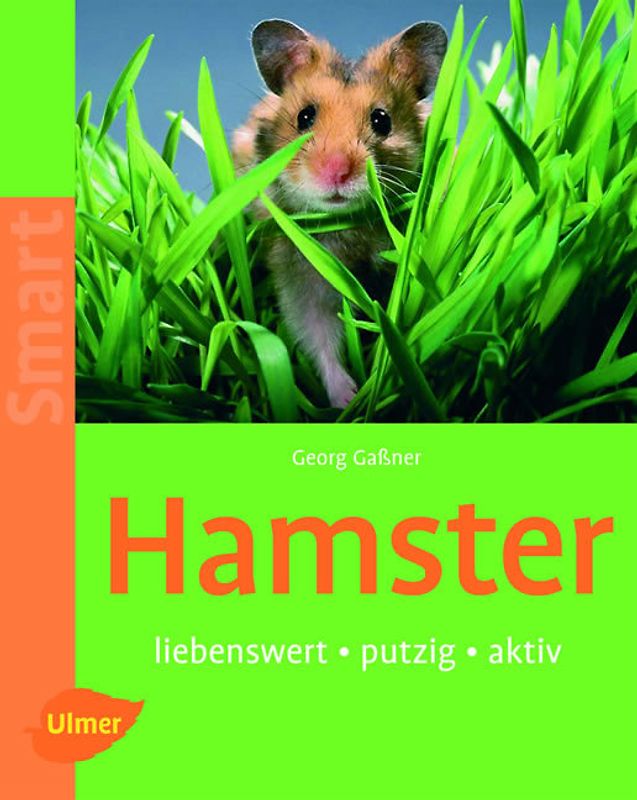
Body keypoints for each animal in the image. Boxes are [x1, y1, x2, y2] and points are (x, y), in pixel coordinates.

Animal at [233, 19, 447, 408]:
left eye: (382, 120)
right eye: (305, 117)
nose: (336, 172)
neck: (349, 226)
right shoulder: (300, 271)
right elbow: (318, 334)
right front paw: (348, 400)